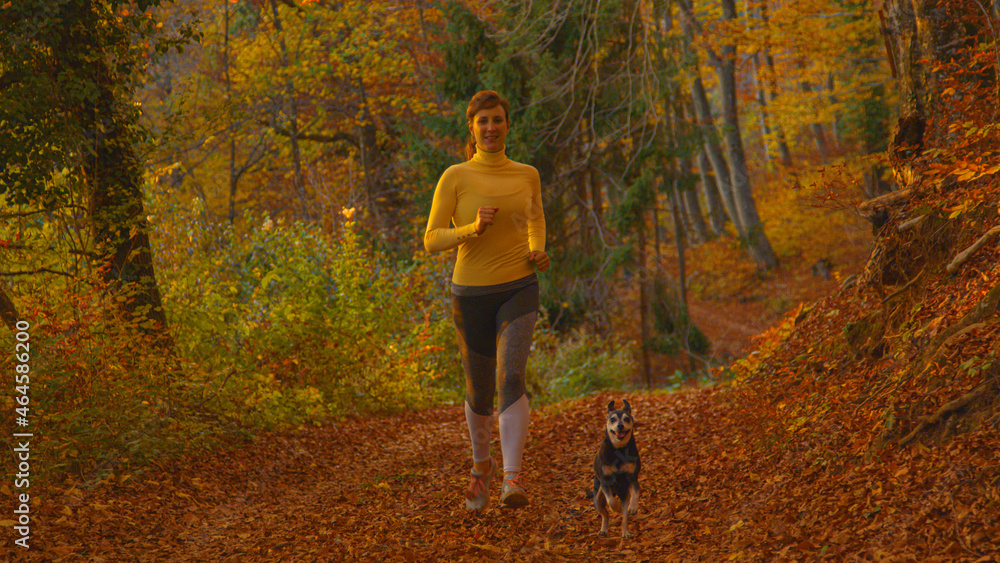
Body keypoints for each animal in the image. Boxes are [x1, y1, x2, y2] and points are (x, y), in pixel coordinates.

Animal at [592, 398, 640, 540]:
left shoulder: (632, 478)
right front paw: (616, 507)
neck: (619, 449)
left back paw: (626, 532)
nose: (620, 426)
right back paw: (603, 529)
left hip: (624, 495)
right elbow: (611, 501)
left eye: (627, 419)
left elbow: (636, 493)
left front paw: (633, 507)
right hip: (597, 500)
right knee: (605, 514)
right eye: (612, 419)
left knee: (624, 517)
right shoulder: (605, 481)